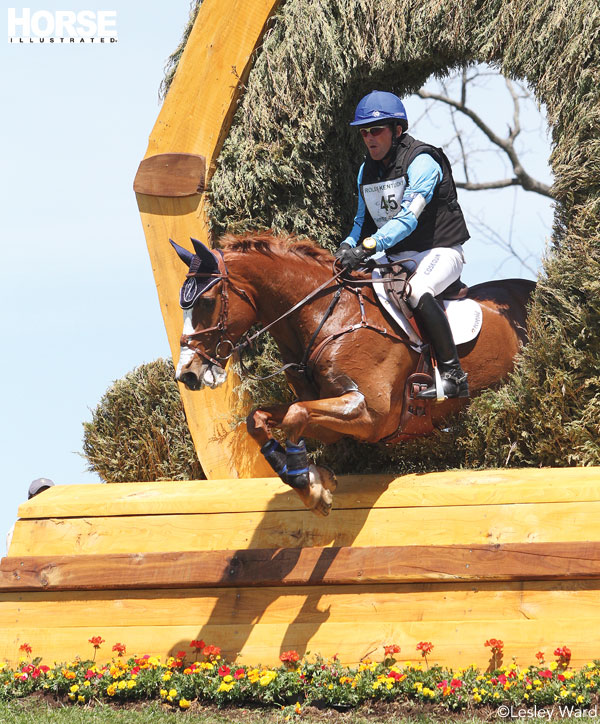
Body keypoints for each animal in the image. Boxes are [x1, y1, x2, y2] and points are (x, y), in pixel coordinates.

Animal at [171, 232, 534, 516]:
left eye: (205, 301)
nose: (186, 374)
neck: (329, 317)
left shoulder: (371, 415)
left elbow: (296, 413)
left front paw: (310, 486)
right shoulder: (331, 421)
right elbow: (260, 418)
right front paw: (306, 477)